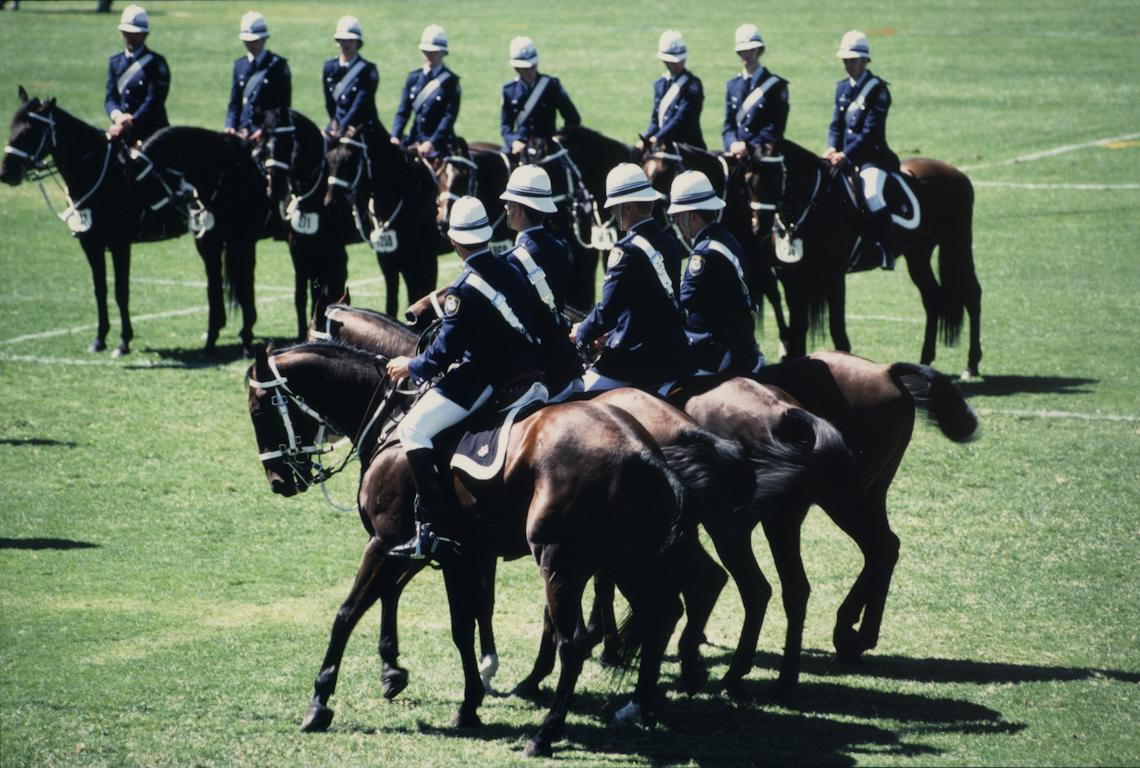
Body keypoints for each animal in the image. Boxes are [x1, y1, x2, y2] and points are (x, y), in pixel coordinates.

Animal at [247, 339, 693, 752]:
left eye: (258, 410)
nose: (278, 482)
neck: (393, 424)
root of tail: (640, 448)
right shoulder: (456, 556)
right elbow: (462, 627)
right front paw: (467, 703)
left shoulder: (383, 544)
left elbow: (346, 614)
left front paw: (320, 703)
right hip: (626, 561)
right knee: (661, 614)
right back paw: (639, 705)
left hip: (559, 563)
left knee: (574, 642)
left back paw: (545, 734)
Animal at [253, 107, 346, 337]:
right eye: (264, 142)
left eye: (287, 141)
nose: (274, 188)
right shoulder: (298, 247)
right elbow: (301, 296)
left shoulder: (332, 250)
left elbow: (328, 290)